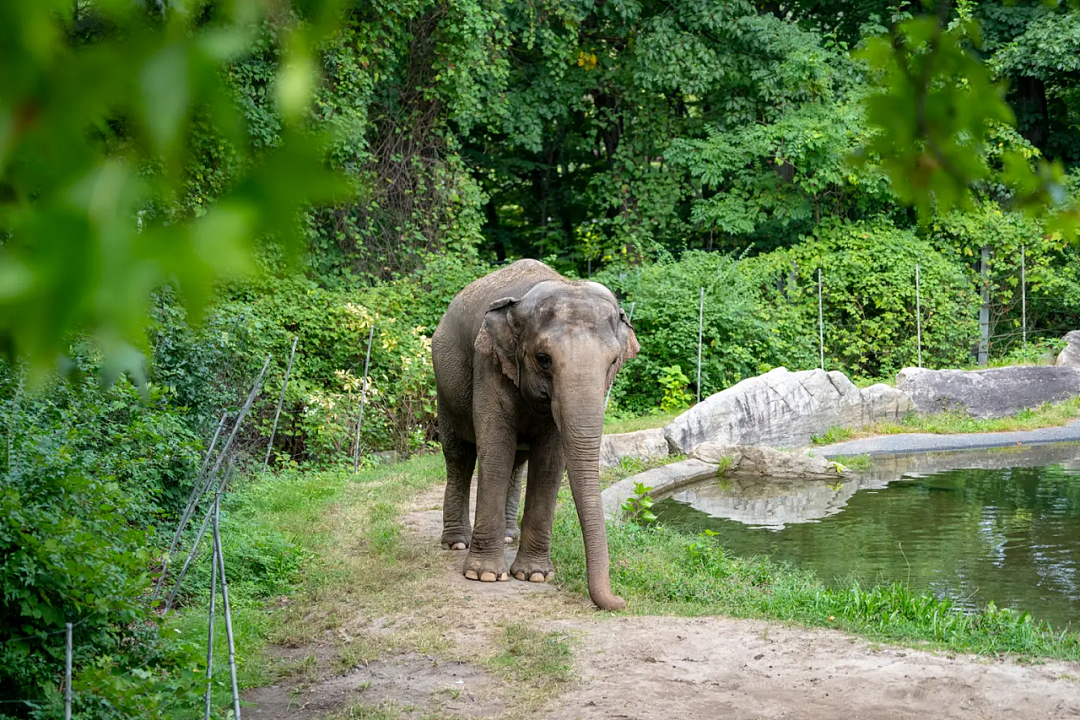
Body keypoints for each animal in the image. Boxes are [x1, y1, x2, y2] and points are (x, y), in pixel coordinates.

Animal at [431, 259, 639, 611]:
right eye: (543, 359)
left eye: (613, 362)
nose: (621, 602)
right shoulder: (488, 362)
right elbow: (495, 448)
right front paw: (485, 575)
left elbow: (550, 462)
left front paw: (535, 576)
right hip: (444, 388)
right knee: (459, 456)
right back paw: (457, 543)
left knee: (518, 462)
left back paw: (507, 536)